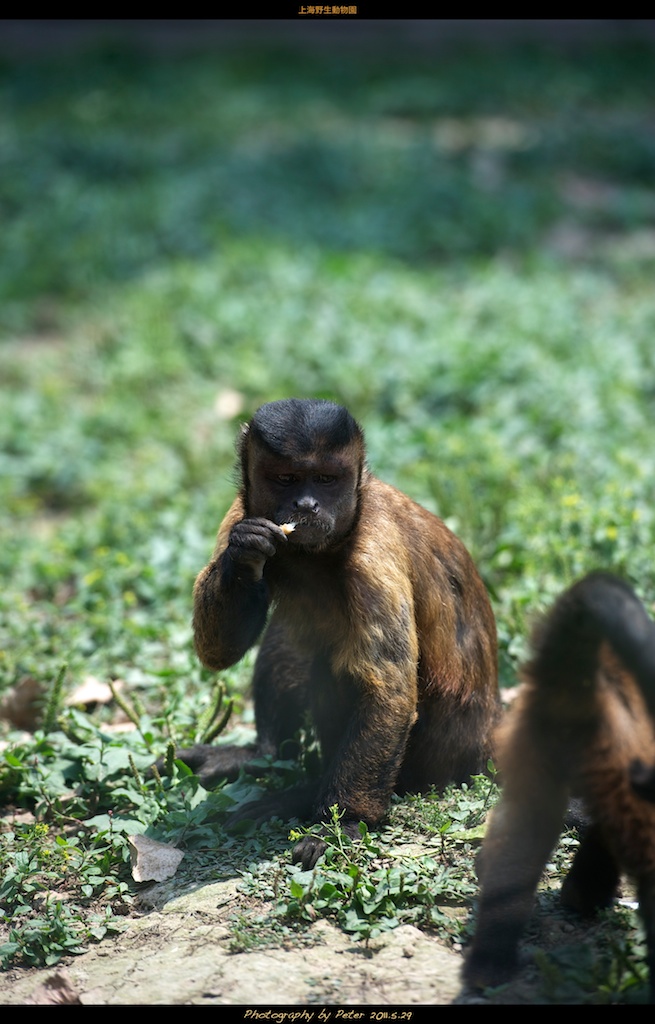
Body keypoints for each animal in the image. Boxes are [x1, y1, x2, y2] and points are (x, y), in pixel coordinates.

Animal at [171, 395, 499, 868]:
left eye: (326, 479)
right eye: (287, 479)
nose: (306, 505)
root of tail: (489, 728)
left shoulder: (374, 555)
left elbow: (389, 694)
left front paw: (342, 824)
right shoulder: (239, 513)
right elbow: (217, 651)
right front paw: (245, 555)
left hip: (442, 752)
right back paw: (264, 755)